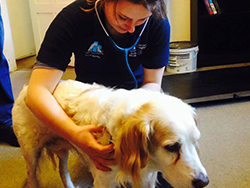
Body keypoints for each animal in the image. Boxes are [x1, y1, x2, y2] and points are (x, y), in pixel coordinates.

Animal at [13, 79, 209, 188]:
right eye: (171, 147)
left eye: (195, 142)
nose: (204, 182)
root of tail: (27, 87)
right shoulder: (104, 181)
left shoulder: (146, 179)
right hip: (31, 153)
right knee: (32, 177)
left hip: (62, 149)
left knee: (62, 170)